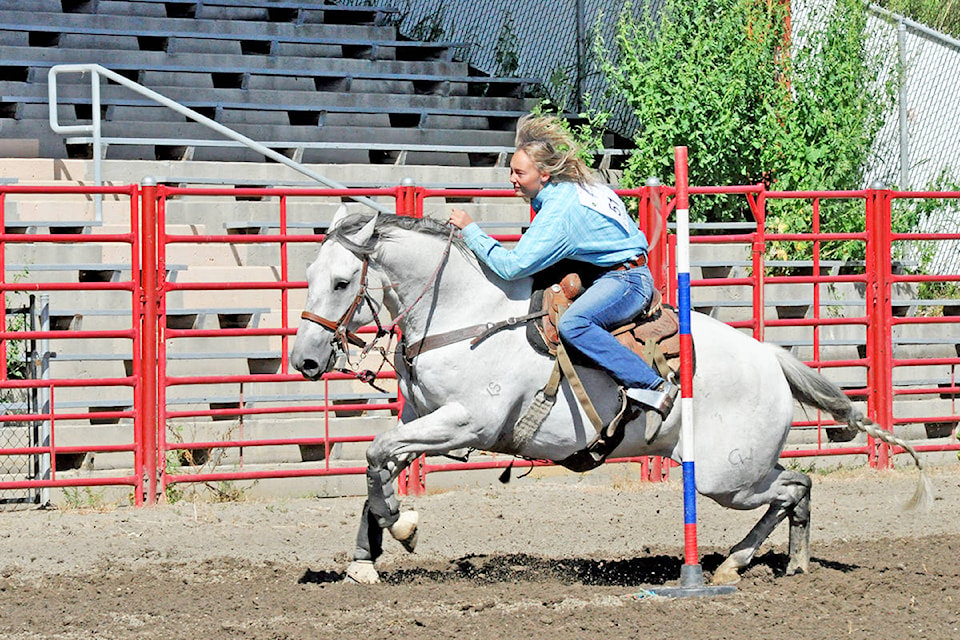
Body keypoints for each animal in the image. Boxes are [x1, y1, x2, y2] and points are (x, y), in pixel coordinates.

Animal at [292, 209, 928, 584]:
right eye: (311, 275)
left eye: (343, 282)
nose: (303, 360)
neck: (466, 315)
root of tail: (769, 358)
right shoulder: (421, 416)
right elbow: (377, 464)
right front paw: (366, 558)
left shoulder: (467, 423)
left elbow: (377, 453)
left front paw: (401, 527)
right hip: (737, 471)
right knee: (798, 487)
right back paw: (776, 564)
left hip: (725, 477)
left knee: (795, 487)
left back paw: (736, 565)